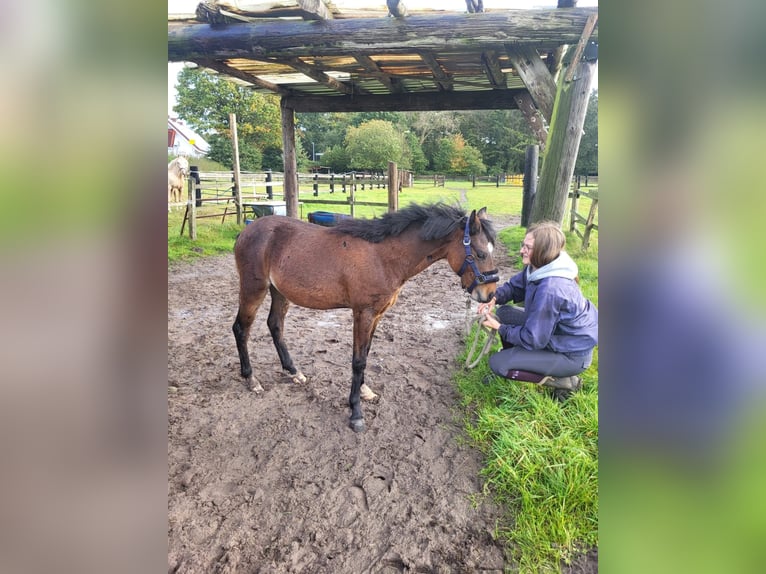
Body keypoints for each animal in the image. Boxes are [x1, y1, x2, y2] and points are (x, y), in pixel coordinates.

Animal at [231, 202, 500, 432]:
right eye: (479, 253)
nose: (489, 294)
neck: (383, 257)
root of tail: (247, 231)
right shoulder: (363, 313)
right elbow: (358, 361)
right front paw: (356, 413)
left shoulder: (377, 315)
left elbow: (366, 354)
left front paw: (364, 391)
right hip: (254, 289)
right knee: (241, 328)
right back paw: (251, 379)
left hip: (279, 292)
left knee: (275, 325)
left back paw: (294, 371)